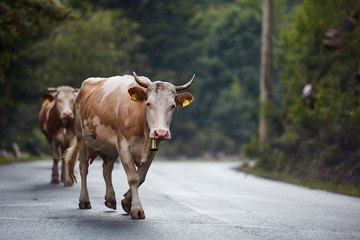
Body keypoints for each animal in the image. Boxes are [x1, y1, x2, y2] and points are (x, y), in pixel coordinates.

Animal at [64, 71, 194, 219]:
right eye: (148, 104)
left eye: (172, 106)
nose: (161, 132)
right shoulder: (123, 145)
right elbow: (133, 178)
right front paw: (136, 209)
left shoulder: (151, 150)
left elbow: (141, 177)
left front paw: (126, 202)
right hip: (81, 138)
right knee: (83, 168)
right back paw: (84, 200)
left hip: (110, 148)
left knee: (106, 168)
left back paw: (110, 199)